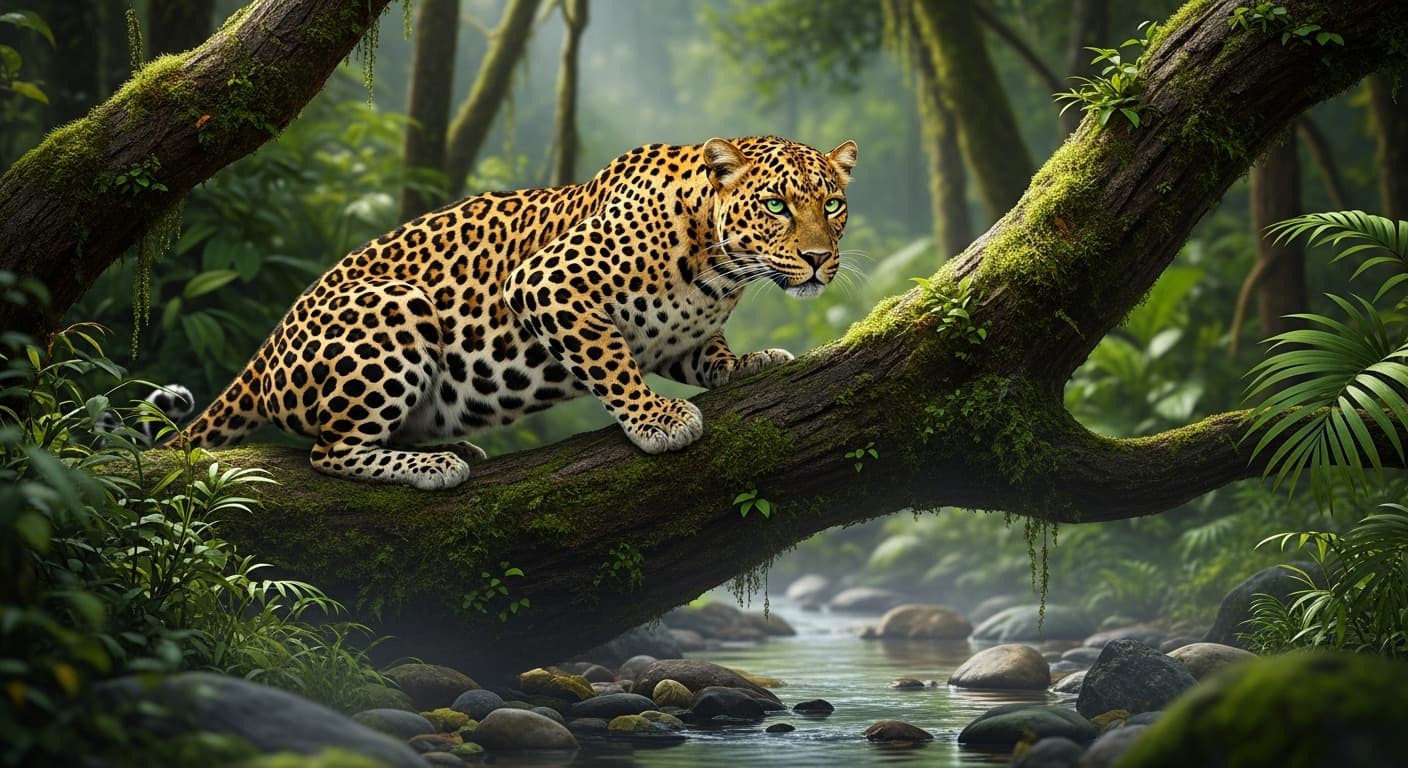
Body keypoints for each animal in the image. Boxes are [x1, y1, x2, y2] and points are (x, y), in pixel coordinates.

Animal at [176, 136, 858, 489]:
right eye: (774, 205)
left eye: (832, 204)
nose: (819, 259)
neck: (720, 269)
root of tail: (266, 350)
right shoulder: (545, 282)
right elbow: (611, 360)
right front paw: (657, 419)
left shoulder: (682, 335)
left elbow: (707, 353)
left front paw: (748, 361)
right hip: (396, 308)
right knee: (330, 450)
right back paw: (433, 464)